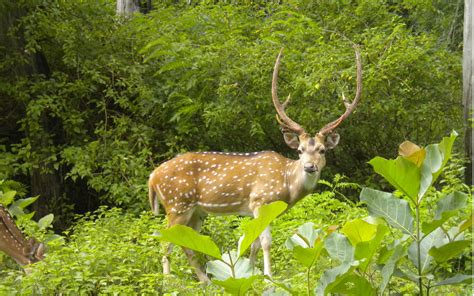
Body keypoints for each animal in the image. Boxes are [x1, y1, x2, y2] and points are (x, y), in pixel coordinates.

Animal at [148, 46, 362, 282]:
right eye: (299, 150)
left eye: (322, 150)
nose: (309, 167)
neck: (287, 185)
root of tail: (152, 177)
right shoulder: (261, 200)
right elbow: (266, 242)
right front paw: (269, 276)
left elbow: (254, 244)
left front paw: (249, 273)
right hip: (177, 203)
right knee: (165, 240)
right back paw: (168, 281)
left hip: (195, 212)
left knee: (186, 242)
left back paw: (205, 280)